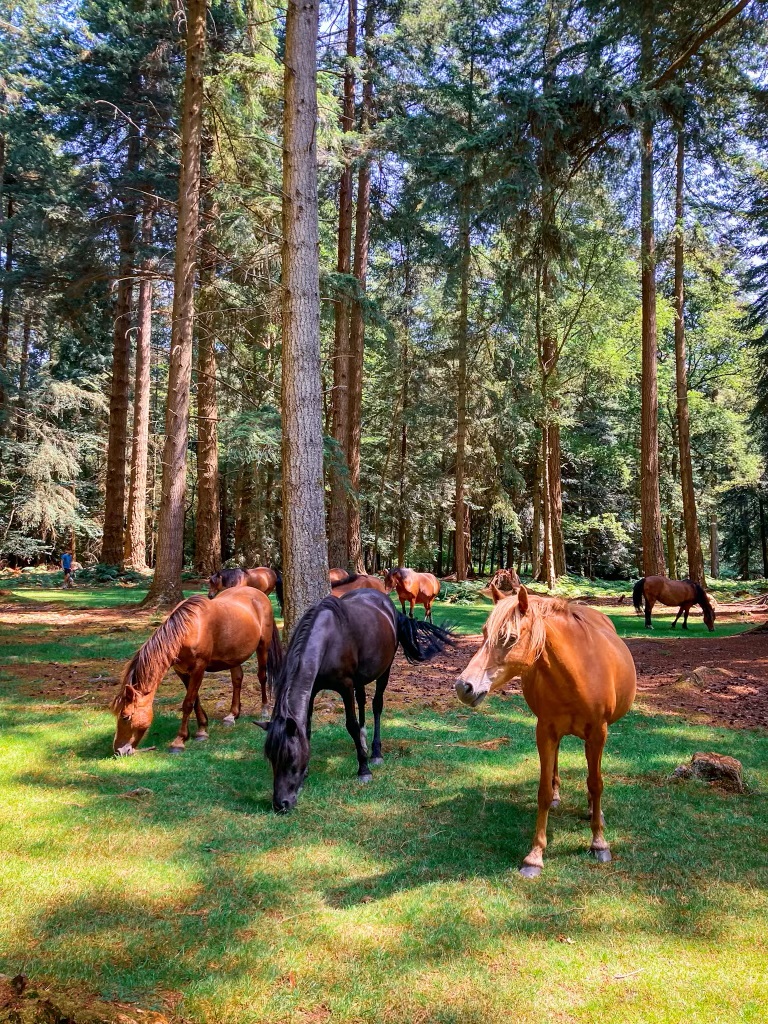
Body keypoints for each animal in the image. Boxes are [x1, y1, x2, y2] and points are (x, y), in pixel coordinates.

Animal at [111, 588, 282, 756]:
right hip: (234, 656)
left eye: (126, 717)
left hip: (263, 647)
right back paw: (232, 715)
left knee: (262, 676)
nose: (119, 751)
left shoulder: (199, 668)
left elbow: (188, 703)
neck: (189, 630)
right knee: (237, 679)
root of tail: (259, 594)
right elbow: (195, 700)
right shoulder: (182, 671)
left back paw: (264, 709)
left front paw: (179, 741)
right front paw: (202, 729)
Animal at [259, 589, 455, 812]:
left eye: (291, 760)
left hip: (384, 670)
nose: (281, 804)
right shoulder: (313, 689)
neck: (328, 640)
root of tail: (388, 604)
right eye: (271, 759)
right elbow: (306, 729)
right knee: (361, 700)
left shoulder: (345, 686)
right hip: (361, 678)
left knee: (376, 705)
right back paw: (363, 741)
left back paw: (376, 752)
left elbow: (350, 725)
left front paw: (364, 769)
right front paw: (306, 775)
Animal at [455, 584, 636, 878]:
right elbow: (542, 791)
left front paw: (599, 843)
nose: (463, 687)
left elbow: (596, 783)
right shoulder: (545, 731)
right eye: (483, 633)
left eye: (510, 637)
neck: (578, 673)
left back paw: (594, 811)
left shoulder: (598, 733)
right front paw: (534, 856)